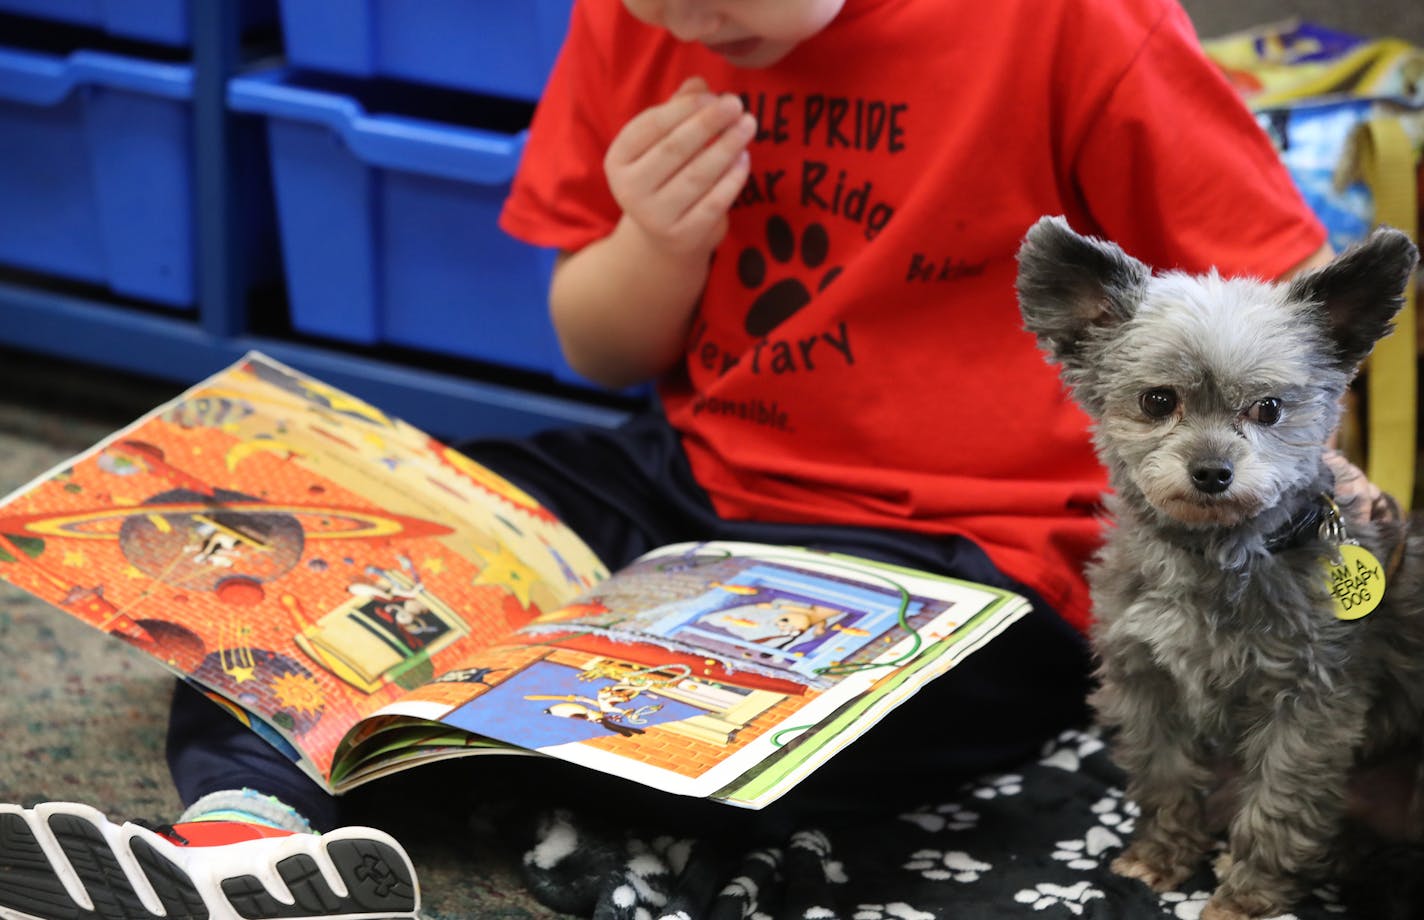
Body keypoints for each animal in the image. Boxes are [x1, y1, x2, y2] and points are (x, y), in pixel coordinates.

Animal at [1019, 219, 1418, 920]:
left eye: (1269, 409)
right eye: (1158, 401)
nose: (1212, 472)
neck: (1212, 557)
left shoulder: (1307, 709)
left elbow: (1279, 807)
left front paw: (1248, 897)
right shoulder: (1146, 685)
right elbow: (1166, 777)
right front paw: (1160, 857)